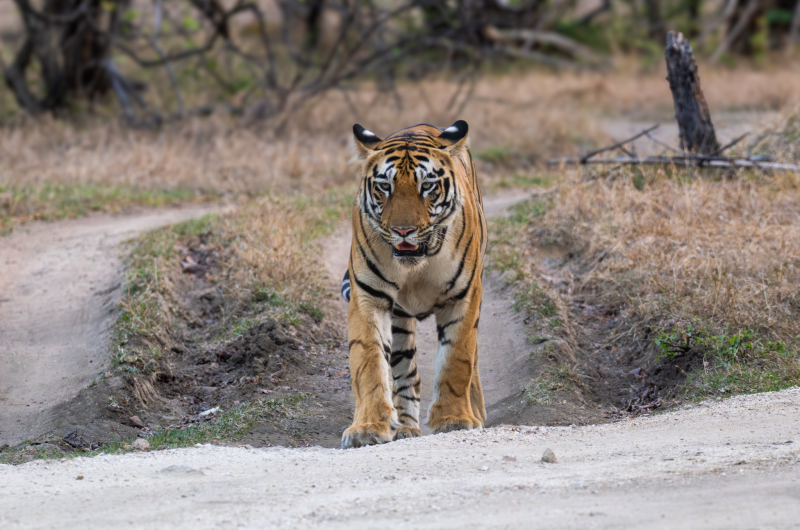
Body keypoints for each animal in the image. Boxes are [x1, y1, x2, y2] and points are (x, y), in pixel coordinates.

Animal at [340, 120, 487, 449]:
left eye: (427, 186)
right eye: (385, 186)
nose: (403, 230)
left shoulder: (464, 296)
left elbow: (457, 359)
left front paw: (454, 419)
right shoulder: (369, 298)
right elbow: (368, 362)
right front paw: (368, 427)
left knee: (472, 363)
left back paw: (476, 412)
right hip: (400, 319)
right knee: (406, 373)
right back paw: (406, 428)